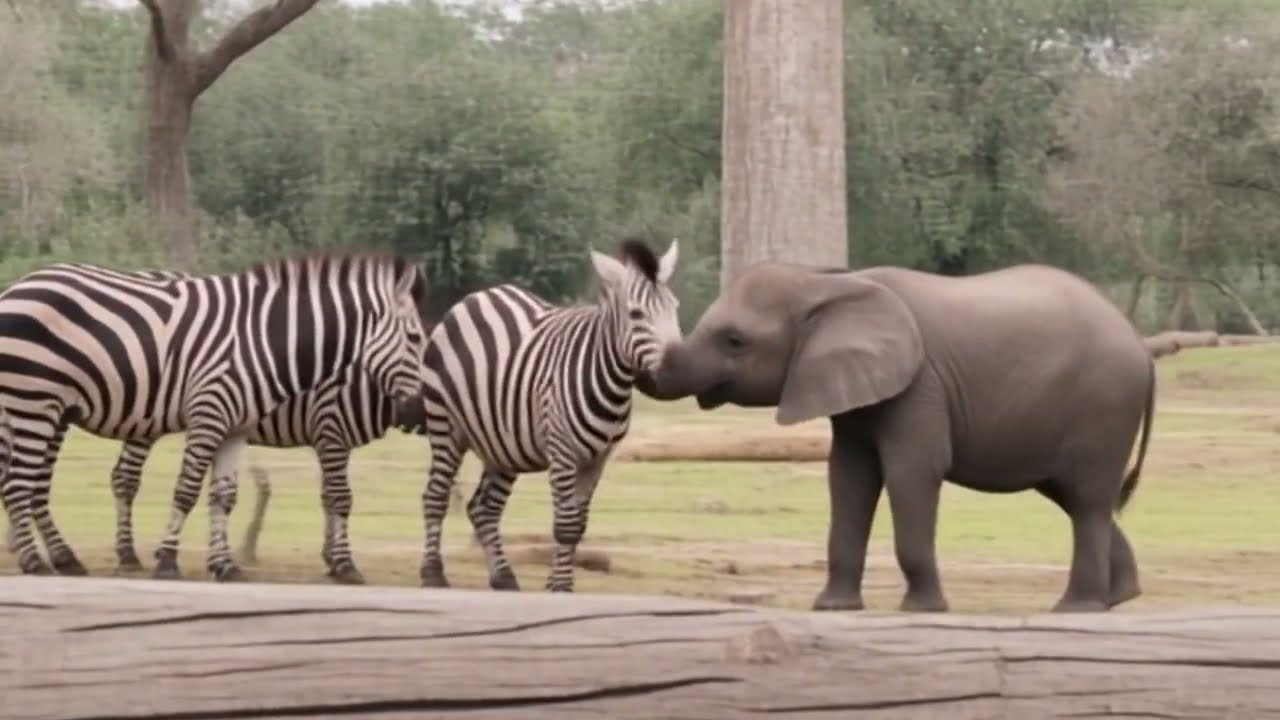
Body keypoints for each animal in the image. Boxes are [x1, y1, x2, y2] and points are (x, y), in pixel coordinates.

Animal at [640, 262, 1155, 614]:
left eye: (735, 341)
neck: (828, 284)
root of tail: (1142, 348)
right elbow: (848, 478)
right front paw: (832, 608)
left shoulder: (920, 386)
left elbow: (912, 472)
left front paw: (924, 610)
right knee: (1076, 497)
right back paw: (1119, 598)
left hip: (1104, 404)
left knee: (1086, 500)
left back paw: (1077, 608)